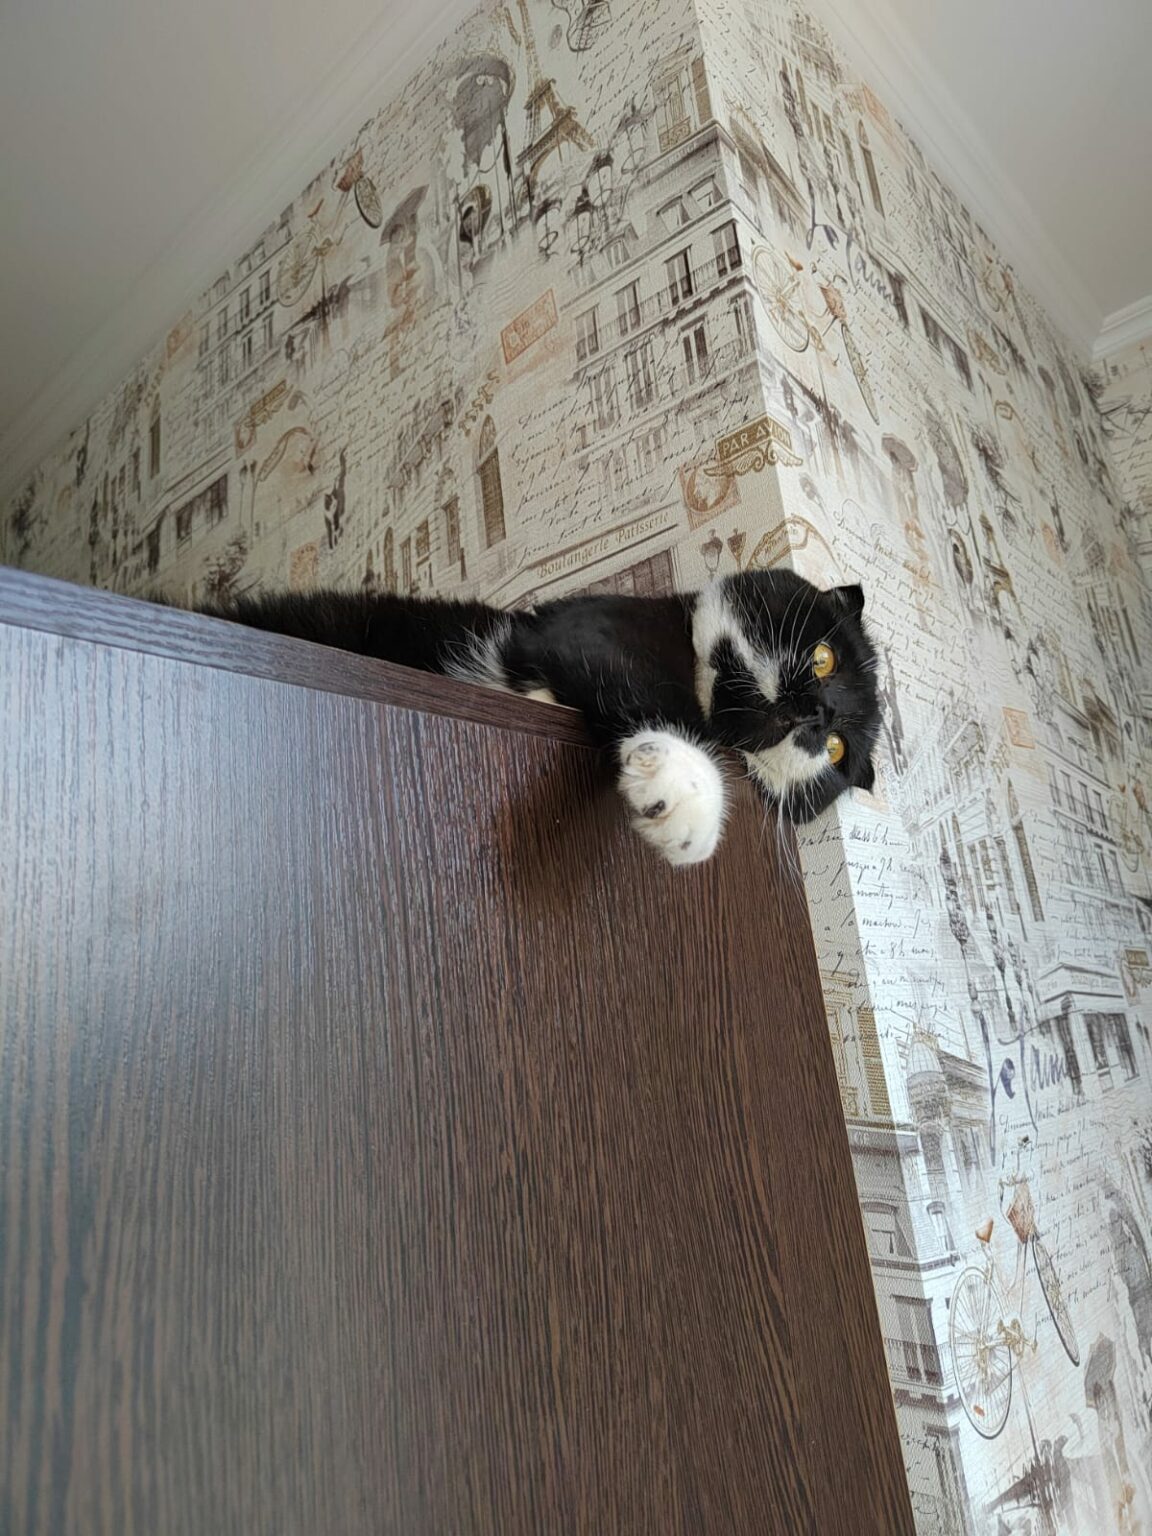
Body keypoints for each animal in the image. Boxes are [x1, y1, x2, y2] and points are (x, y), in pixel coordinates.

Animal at [199, 569, 880, 866]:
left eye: (839, 751)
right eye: (824, 658)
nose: (820, 714)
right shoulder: (584, 630)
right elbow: (638, 688)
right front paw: (685, 795)